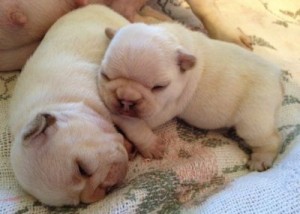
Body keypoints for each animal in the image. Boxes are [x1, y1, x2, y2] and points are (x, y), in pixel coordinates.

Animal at [98, 22, 284, 171]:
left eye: (159, 87)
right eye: (105, 75)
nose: (126, 99)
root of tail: (278, 78)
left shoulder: (162, 109)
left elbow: (134, 122)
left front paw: (149, 144)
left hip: (253, 120)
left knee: (271, 139)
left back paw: (261, 159)